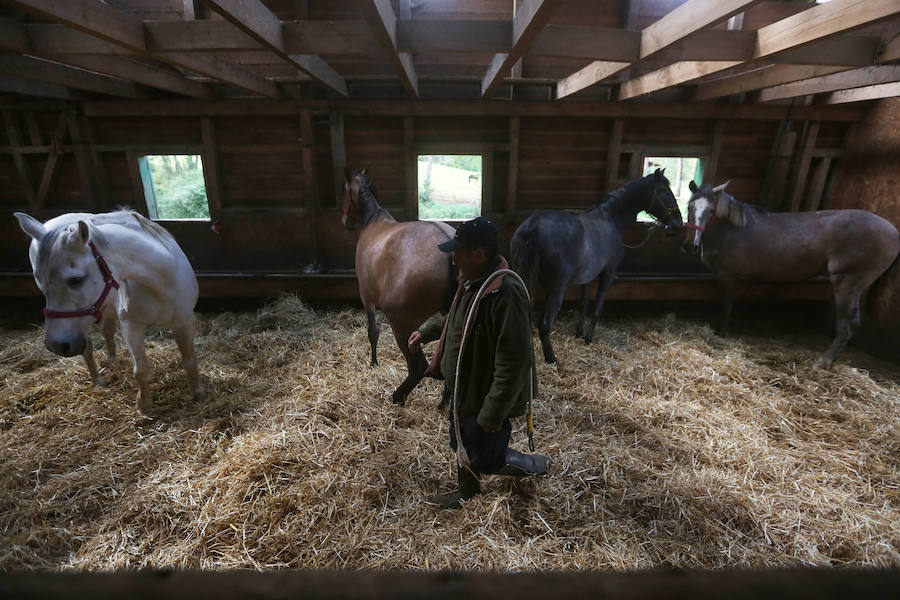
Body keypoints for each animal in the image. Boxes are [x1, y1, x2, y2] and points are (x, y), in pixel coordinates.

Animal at [14, 207, 204, 412]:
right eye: (40, 282)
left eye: (76, 280)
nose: (56, 345)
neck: (159, 283)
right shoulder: (132, 327)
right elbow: (141, 371)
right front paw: (144, 406)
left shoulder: (184, 322)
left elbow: (190, 360)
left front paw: (198, 395)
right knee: (88, 349)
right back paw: (98, 380)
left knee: (107, 331)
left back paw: (113, 360)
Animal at [342, 169, 460, 404]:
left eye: (344, 191)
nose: (345, 221)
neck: (374, 222)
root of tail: (450, 246)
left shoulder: (366, 297)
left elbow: (373, 332)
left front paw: (374, 362)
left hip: (402, 323)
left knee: (418, 367)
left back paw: (399, 395)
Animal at [512, 170, 684, 366]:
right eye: (665, 192)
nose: (678, 224)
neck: (610, 220)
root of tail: (533, 226)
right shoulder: (607, 275)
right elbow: (596, 308)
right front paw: (588, 338)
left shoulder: (586, 278)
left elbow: (583, 305)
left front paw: (579, 333)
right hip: (556, 290)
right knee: (545, 325)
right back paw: (551, 358)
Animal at [684, 180, 896, 368]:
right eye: (689, 207)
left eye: (711, 211)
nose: (689, 246)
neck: (731, 230)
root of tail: (895, 233)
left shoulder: (727, 274)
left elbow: (726, 305)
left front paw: (721, 334)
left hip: (847, 284)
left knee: (847, 325)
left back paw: (822, 362)